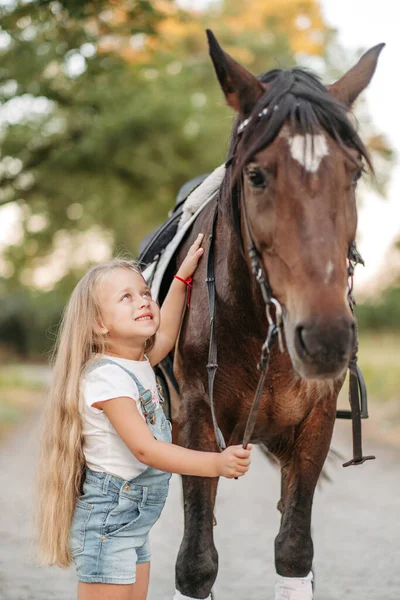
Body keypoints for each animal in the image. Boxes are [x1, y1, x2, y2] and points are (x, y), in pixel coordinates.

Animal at [170, 31, 382, 600]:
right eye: (257, 175)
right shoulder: (196, 425)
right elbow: (196, 563)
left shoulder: (315, 426)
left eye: (353, 174)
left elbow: (294, 551)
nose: (327, 337)